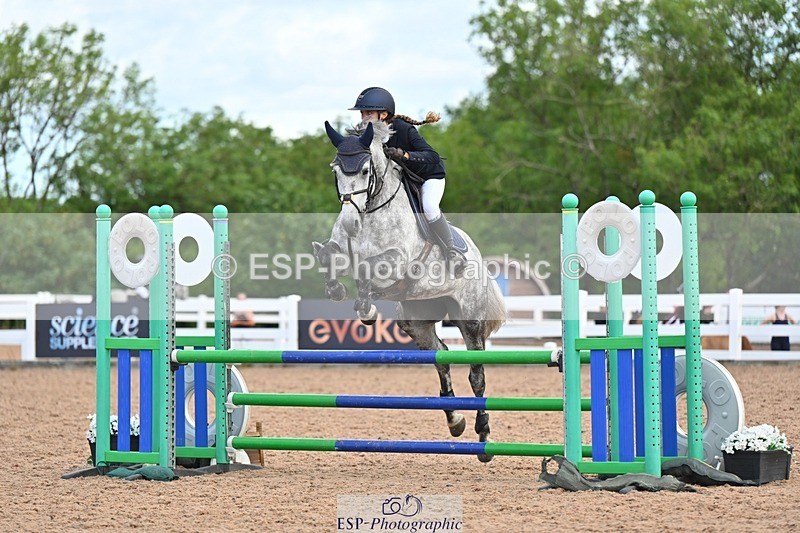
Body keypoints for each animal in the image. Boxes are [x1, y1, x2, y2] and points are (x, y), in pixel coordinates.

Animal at [313, 119, 507, 462]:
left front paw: (367, 307)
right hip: (416, 322)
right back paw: (455, 421)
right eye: (336, 170)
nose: (350, 223)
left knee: (476, 374)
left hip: (469, 319)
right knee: (441, 357)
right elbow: (331, 256)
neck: (370, 212)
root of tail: (479, 257)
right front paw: (338, 289)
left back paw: (483, 436)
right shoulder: (343, 250)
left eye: (365, 170)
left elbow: (369, 269)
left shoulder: (397, 261)